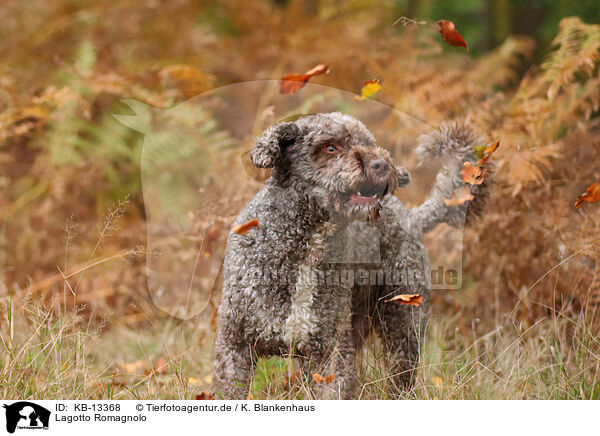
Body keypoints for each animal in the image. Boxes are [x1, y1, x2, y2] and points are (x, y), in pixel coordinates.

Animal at [213, 111, 490, 398]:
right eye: (330, 147)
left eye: (368, 143)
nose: (381, 164)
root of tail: (413, 216)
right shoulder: (235, 347)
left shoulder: (330, 352)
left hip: (403, 322)